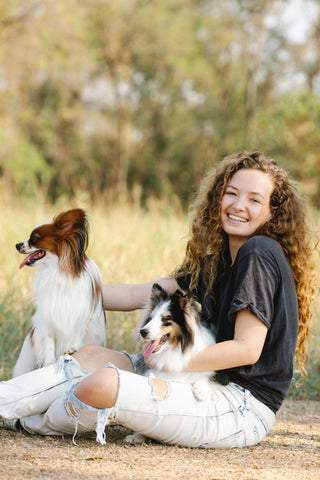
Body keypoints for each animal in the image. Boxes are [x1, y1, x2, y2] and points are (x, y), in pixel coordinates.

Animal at [13, 208, 106, 376]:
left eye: (34, 239)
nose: (17, 245)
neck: (59, 268)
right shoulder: (47, 317)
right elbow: (49, 341)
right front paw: (50, 361)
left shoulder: (84, 314)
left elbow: (80, 333)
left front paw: (73, 348)